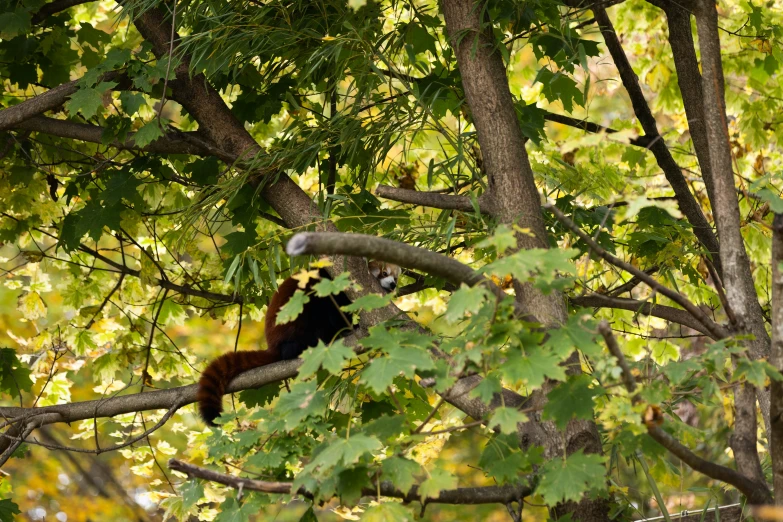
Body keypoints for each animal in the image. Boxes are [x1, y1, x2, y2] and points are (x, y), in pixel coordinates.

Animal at [196, 260, 404, 422]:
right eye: (384, 273)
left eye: (396, 277)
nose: (393, 285)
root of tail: (272, 345)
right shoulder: (332, 287)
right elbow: (336, 309)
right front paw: (351, 326)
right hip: (297, 317)